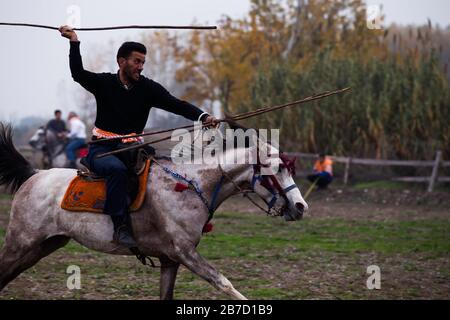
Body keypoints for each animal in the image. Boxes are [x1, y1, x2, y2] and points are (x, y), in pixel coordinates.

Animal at [0, 124, 308, 298]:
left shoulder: (170, 260)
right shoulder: (185, 253)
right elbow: (224, 283)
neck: (191, 186)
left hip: (44, 245)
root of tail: (35, 174)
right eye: (277, 168)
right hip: (20, 242)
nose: (301, 207)